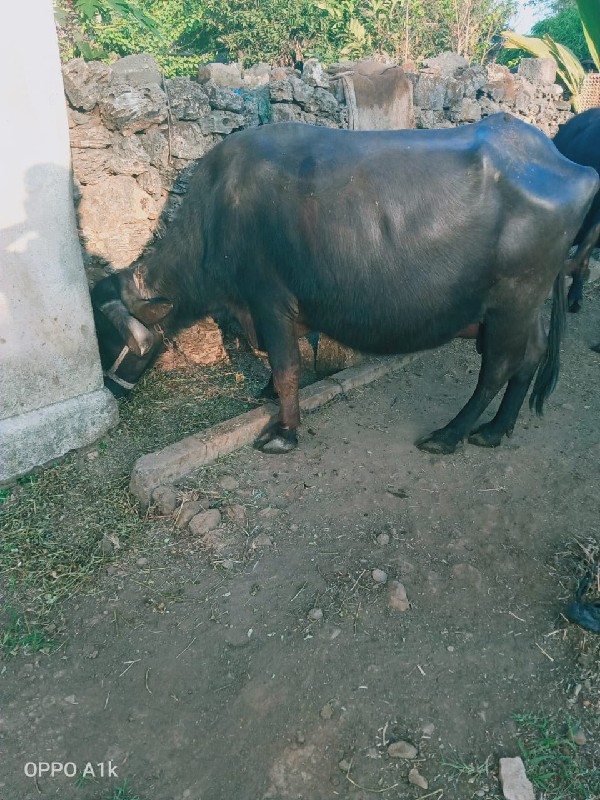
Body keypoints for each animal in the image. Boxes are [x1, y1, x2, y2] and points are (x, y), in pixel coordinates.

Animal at [91, 113, 596, 454]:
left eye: (106, 336)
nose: (109, 393)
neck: (218, 217)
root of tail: (573, 167)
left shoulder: (269, 300)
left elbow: (287, 365)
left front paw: (284, 433)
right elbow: (280, 363)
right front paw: (267, 395)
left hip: (513, 302)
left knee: (497, 368)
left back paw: (450, 435)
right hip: (524, 307)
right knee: (530, 357)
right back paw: (494, 430)